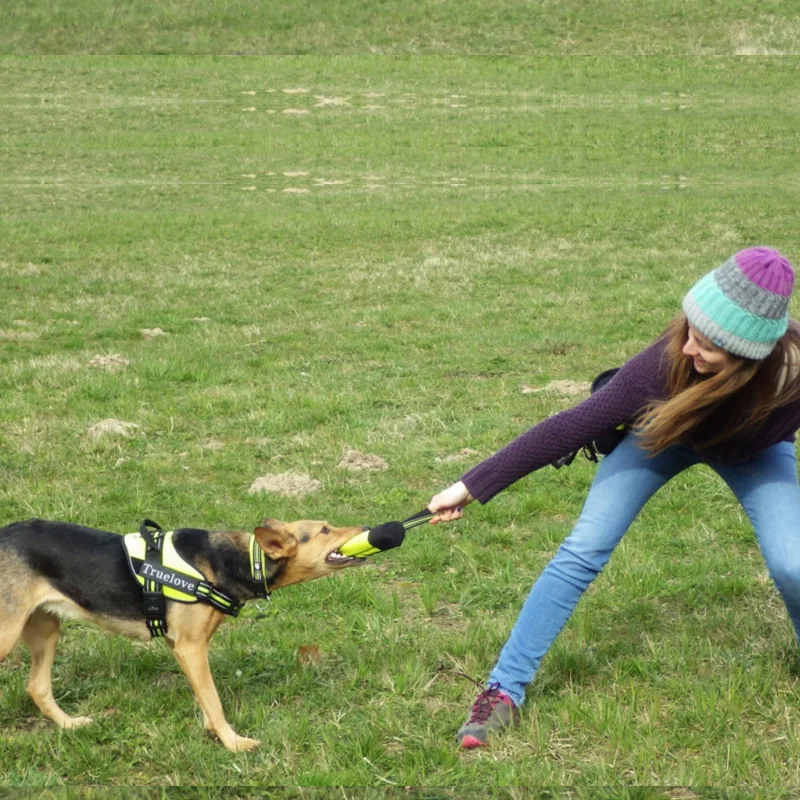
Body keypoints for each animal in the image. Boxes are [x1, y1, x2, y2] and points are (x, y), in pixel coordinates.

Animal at [0, 520, 368, 752]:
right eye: (324, 529)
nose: (365, 530)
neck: (240, 559)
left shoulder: (182, 647)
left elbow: (205, 699)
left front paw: (213, 733)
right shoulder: (191, 648)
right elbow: (215, 701)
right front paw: (233, 743)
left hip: (46, 629)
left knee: (37, 688)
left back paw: (72, 725)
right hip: (9, 633)